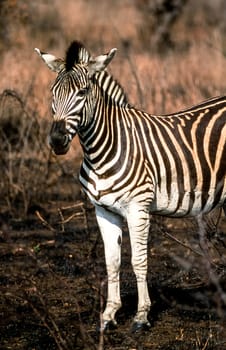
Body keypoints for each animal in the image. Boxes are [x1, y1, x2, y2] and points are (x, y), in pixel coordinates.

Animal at [34, 40, 225, 330]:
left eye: (82, 92)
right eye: (52, 93)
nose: (56, 141)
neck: (101, 150)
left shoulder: (138, 208)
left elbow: (138, 260)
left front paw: (141, 316)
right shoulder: (103, 210)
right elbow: (112, 261)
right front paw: (109, 314)